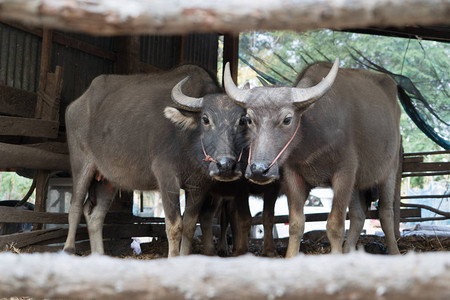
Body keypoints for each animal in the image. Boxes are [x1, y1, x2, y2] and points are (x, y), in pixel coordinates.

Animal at [223, 59, 402, 256]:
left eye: (287, 119)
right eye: (248, 119)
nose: (258, 170)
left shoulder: (344, 174)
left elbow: (335, 226)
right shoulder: (293, 177)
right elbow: (296, 224)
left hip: (390, 170)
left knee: (386, 213)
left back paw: (394, 251)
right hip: (356, 184)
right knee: (358, 216)